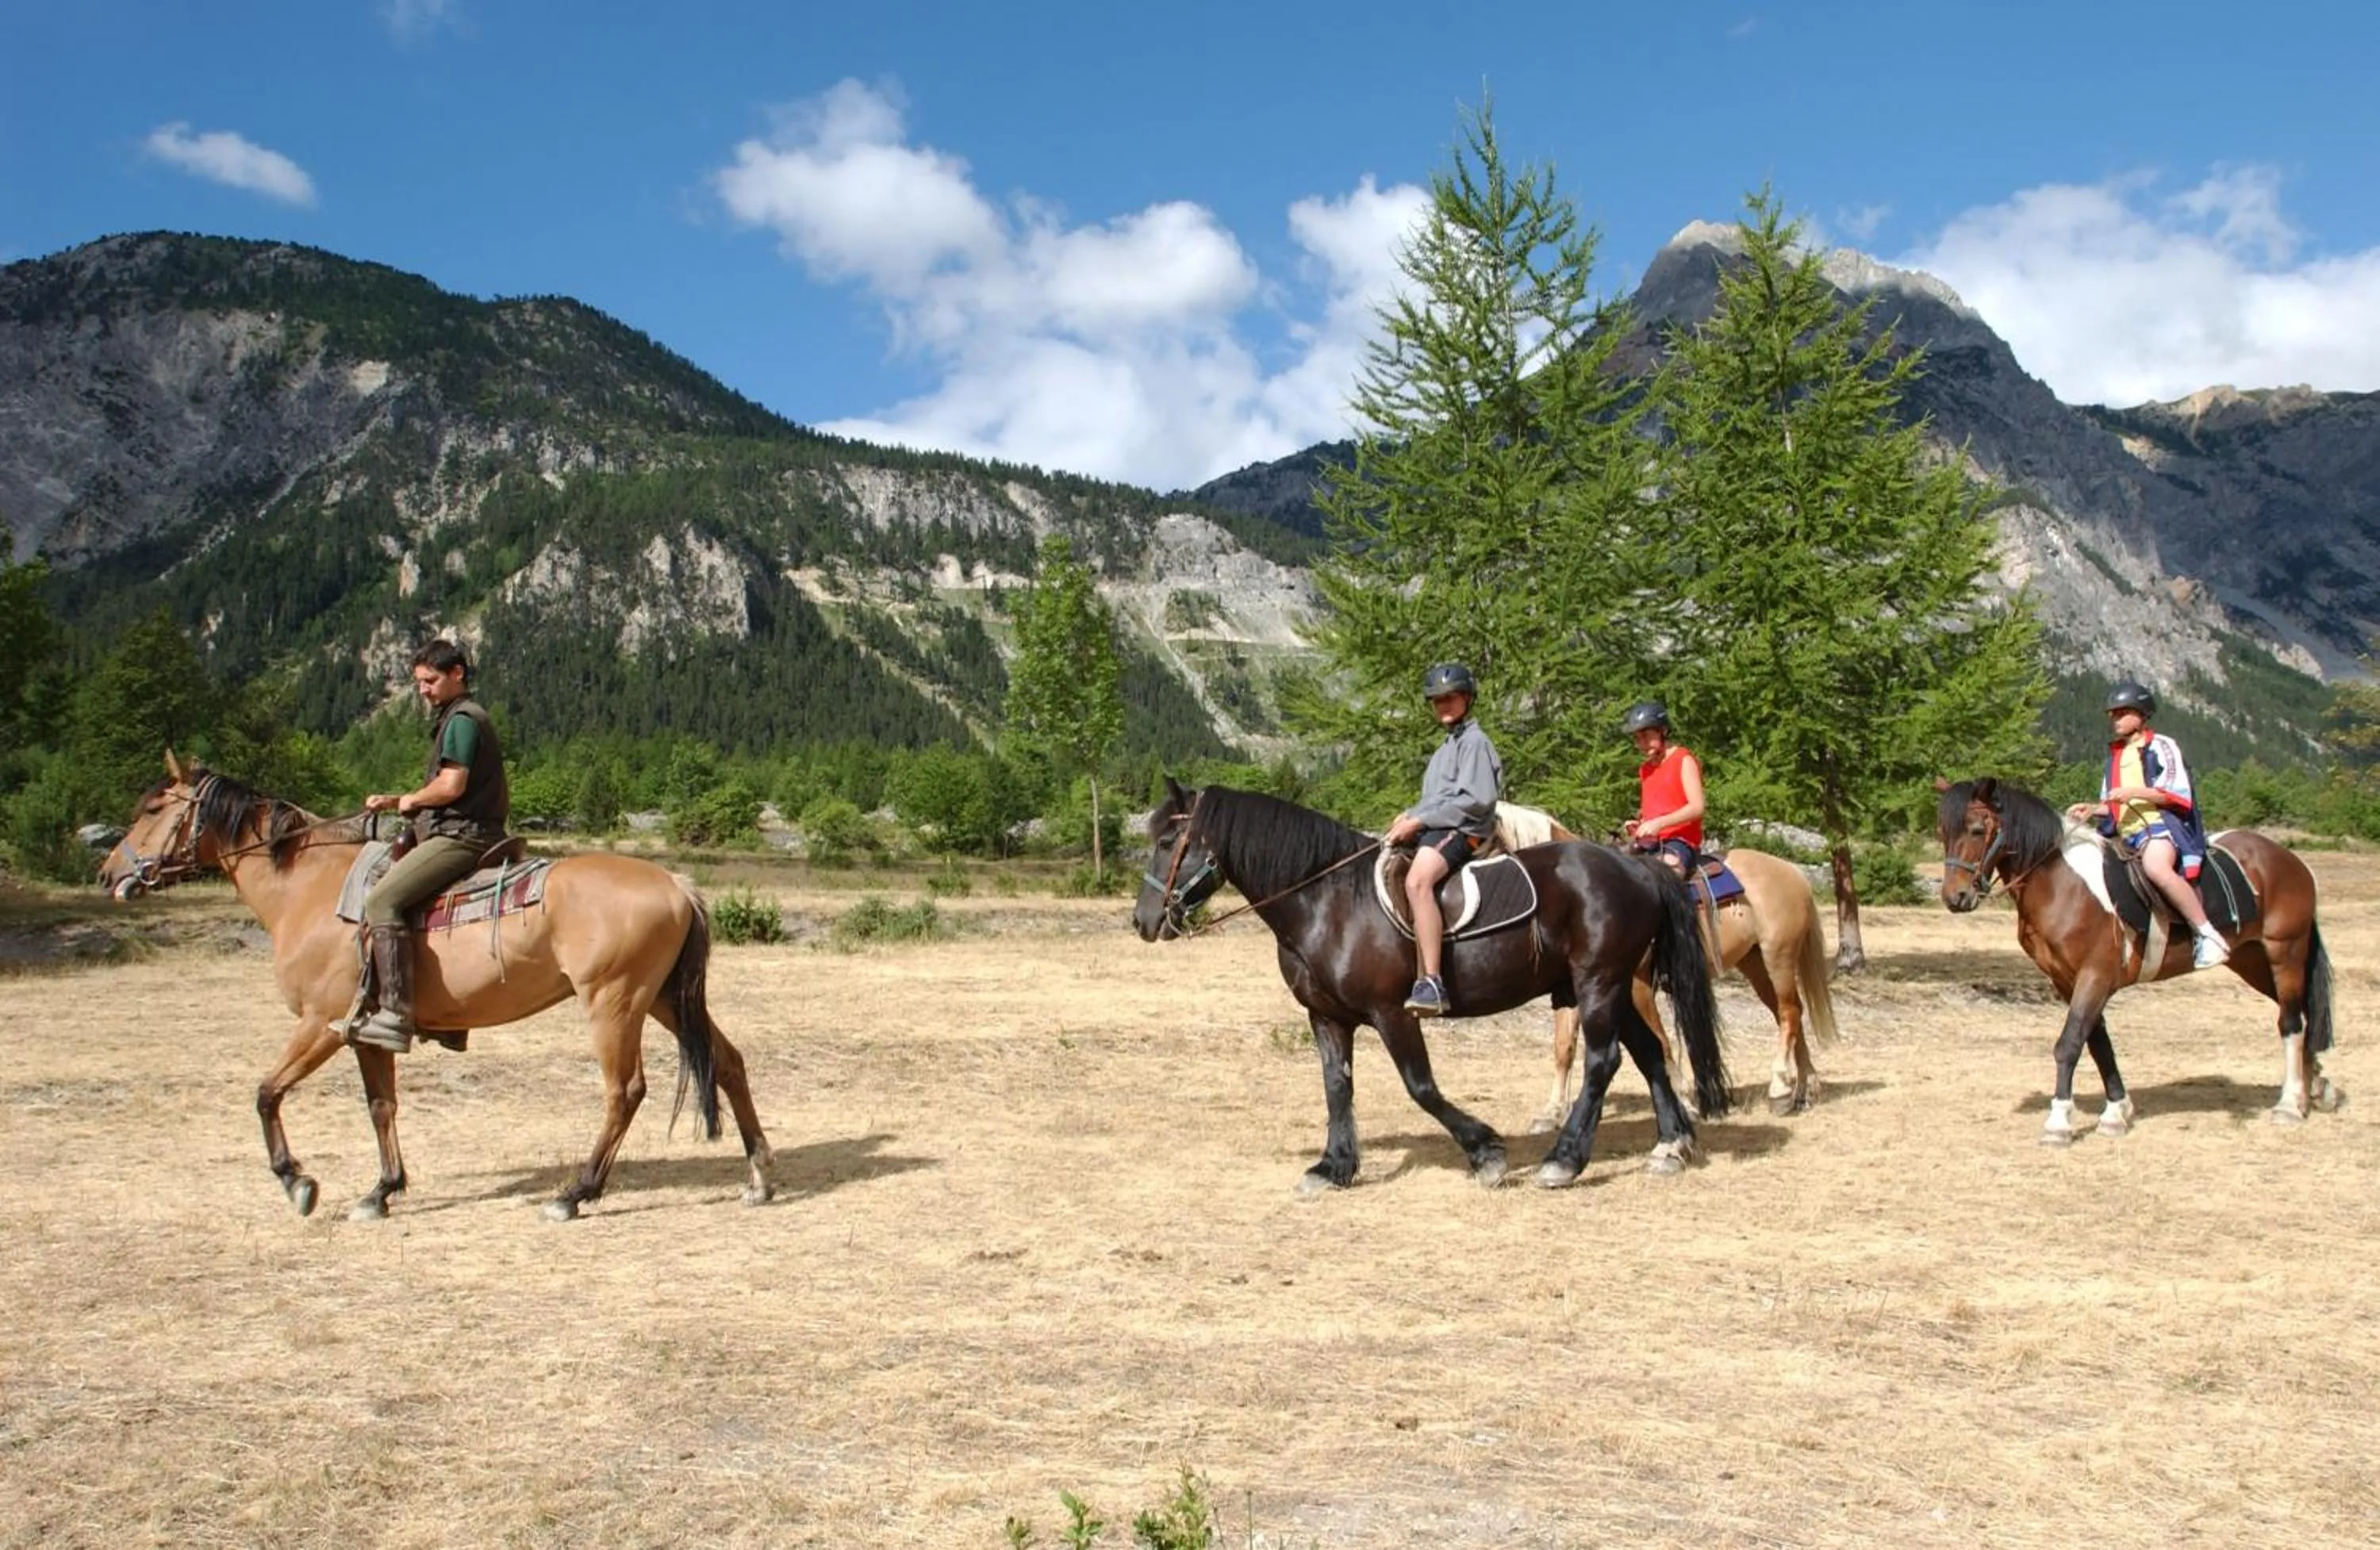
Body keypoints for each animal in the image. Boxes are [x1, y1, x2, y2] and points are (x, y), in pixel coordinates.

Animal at [96, 755, 776, 1221]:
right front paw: (381, 1190)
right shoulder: (365, 1031)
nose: (108, 873)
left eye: (153, 809)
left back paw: (576, 1193)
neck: (311, 889)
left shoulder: (321, 1024)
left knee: (625, 1091)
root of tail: (675, 884)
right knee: (728, 1062)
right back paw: (759, 1176)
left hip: (615, 1003)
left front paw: (297, 1182)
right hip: (665, 998)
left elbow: (267, 1093)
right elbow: (381, 1107)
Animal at [1132, 780, 1730, 1193]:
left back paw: (1564, 1160)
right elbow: (1337, 1087)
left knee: (1604, 1061)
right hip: (1614, 986)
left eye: (1168, 840)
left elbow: (1420, 1087)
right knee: (1649, 1052)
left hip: (1599, 984)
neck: (1329, 901)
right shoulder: (1326, 1017)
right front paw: (1334, 1167)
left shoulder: (1393, 1013)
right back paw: (1670, 1146)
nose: (1143, 922)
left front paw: (1486, 1153)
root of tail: (1635, 868)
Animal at [1538, 846, 1838, 1127]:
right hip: (1755, 963)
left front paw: (1683, 1101)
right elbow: (1564, 1046)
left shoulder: (1637, 987)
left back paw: (1780, 1088)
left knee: (1789, 1013)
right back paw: (1804, 1090)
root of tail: (1792, 872)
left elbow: (1660, 1042)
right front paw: (1552, 1112)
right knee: (1789, 1013)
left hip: (1778, 957)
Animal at [1935, 775, 2342, 1143]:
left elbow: (2070, 1044)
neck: (2062, 885)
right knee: (2303, 1014)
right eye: (1943, 832)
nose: (1955, 897)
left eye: (1977, 828)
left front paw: (2059, 1122)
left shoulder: (2094, 976)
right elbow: (2098, 1044)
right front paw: (2116, 1112)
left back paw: (2289, 1104)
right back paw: (2315, 1088)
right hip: (2253, 962)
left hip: (2285, 953)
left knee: (2290, 1022)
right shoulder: (2067, 981)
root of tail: (2291, 861)